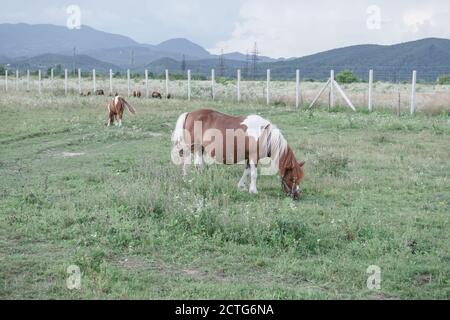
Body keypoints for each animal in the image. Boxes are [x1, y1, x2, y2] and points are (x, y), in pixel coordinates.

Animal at [172, 110, 306, 200]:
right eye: (292, 178)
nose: (296, 195)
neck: (265, 135)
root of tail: (189, 113)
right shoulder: (253, 157)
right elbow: (253, 174)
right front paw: (253, 190)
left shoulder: (249, 158)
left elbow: (246, 172)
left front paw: (241, 186)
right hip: (194, 148)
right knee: (192, 165)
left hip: (200, 149)